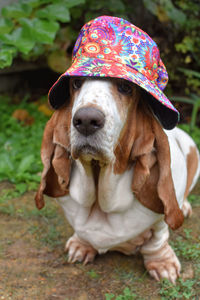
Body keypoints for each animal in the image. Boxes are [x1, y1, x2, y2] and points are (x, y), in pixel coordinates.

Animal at [34, 16, 200, 284]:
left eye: (125, 87)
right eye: (76, 83)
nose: (86, 120)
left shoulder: (159, 222)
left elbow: (158, 237)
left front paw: (162, 264)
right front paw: (81, 245)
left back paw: (183, 207)